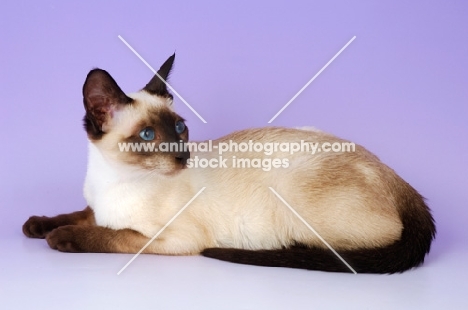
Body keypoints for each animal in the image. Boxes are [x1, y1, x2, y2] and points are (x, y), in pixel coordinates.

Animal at [23, 53, 436, 274]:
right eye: (147, 135)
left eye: (180, 128)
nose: (183, 155)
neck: (113, 179)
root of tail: (398, 179)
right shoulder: (96, 206)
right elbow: (79, 214)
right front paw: (37, 225)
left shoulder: (171, 239)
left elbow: (109, 235)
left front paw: (60, 238)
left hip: (290, 190)